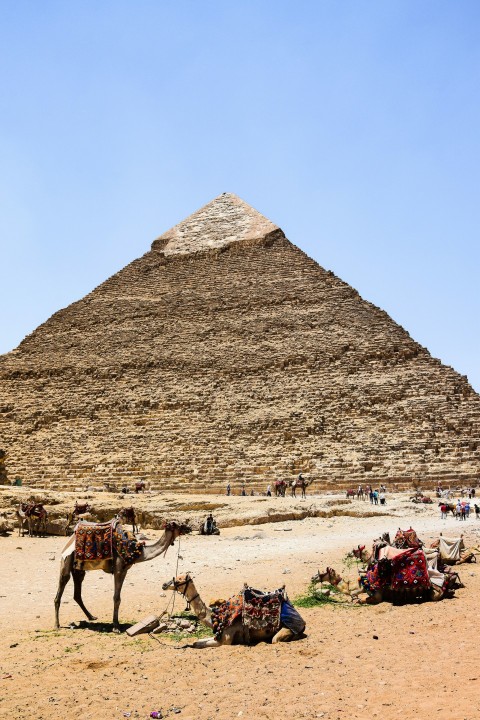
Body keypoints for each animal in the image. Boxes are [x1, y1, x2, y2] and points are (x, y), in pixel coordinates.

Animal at [55, 516, 190, 632]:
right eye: (176, 524)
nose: (188, 528)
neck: (136, 550)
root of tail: (72, 536)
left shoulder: (125, 570)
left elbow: (118, 598)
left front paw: (116, 624)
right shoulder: (119, 569)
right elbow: (116, 598)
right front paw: (116, 626)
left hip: (78, 569)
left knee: (77, 592)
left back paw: (91, 617)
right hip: (66, 559)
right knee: (62, 583)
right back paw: (57, 624)